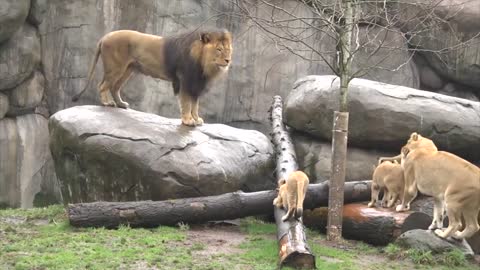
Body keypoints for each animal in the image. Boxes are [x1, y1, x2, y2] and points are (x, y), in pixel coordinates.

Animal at [71, 29, 234, 126]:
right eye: (219, 49)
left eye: (228, 50)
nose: (228, 60)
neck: (203, 63)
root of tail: (105, 36)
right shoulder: (185, 81)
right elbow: (187, 103)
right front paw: (188, 120)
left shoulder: (196, 84)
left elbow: (195, 104)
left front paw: (196, 119)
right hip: (115, 68)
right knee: (102, 85)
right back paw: (107, 103)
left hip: (127, 70)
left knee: (114, 87)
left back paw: (121, 104)